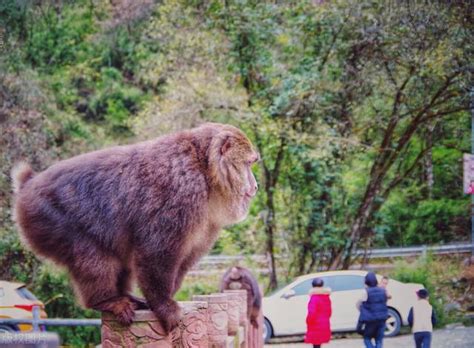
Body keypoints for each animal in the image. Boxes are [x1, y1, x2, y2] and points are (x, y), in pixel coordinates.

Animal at [11, 122, 260, 332]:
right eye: (249, 164)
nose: (256, 185)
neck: (205, 170)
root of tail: (28, 184)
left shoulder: (208, 218)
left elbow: (185, 256)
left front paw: (164, 298)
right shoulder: (181, 192)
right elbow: (157, 251)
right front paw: (163, 305)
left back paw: (125, 296)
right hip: (47, 217)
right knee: (93, 255)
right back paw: (106, 300)